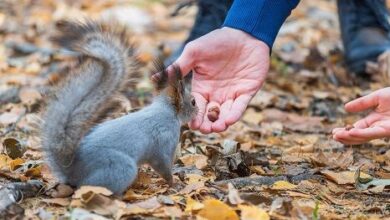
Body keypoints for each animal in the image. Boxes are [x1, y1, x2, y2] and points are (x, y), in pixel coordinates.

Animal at [41, 20, 198, 194]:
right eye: (193, 101)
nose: (198, 111)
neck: (166, 110)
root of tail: (73, 172)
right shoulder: (165, 140)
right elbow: (162, 165)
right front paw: (174, 184)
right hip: (120, 167)